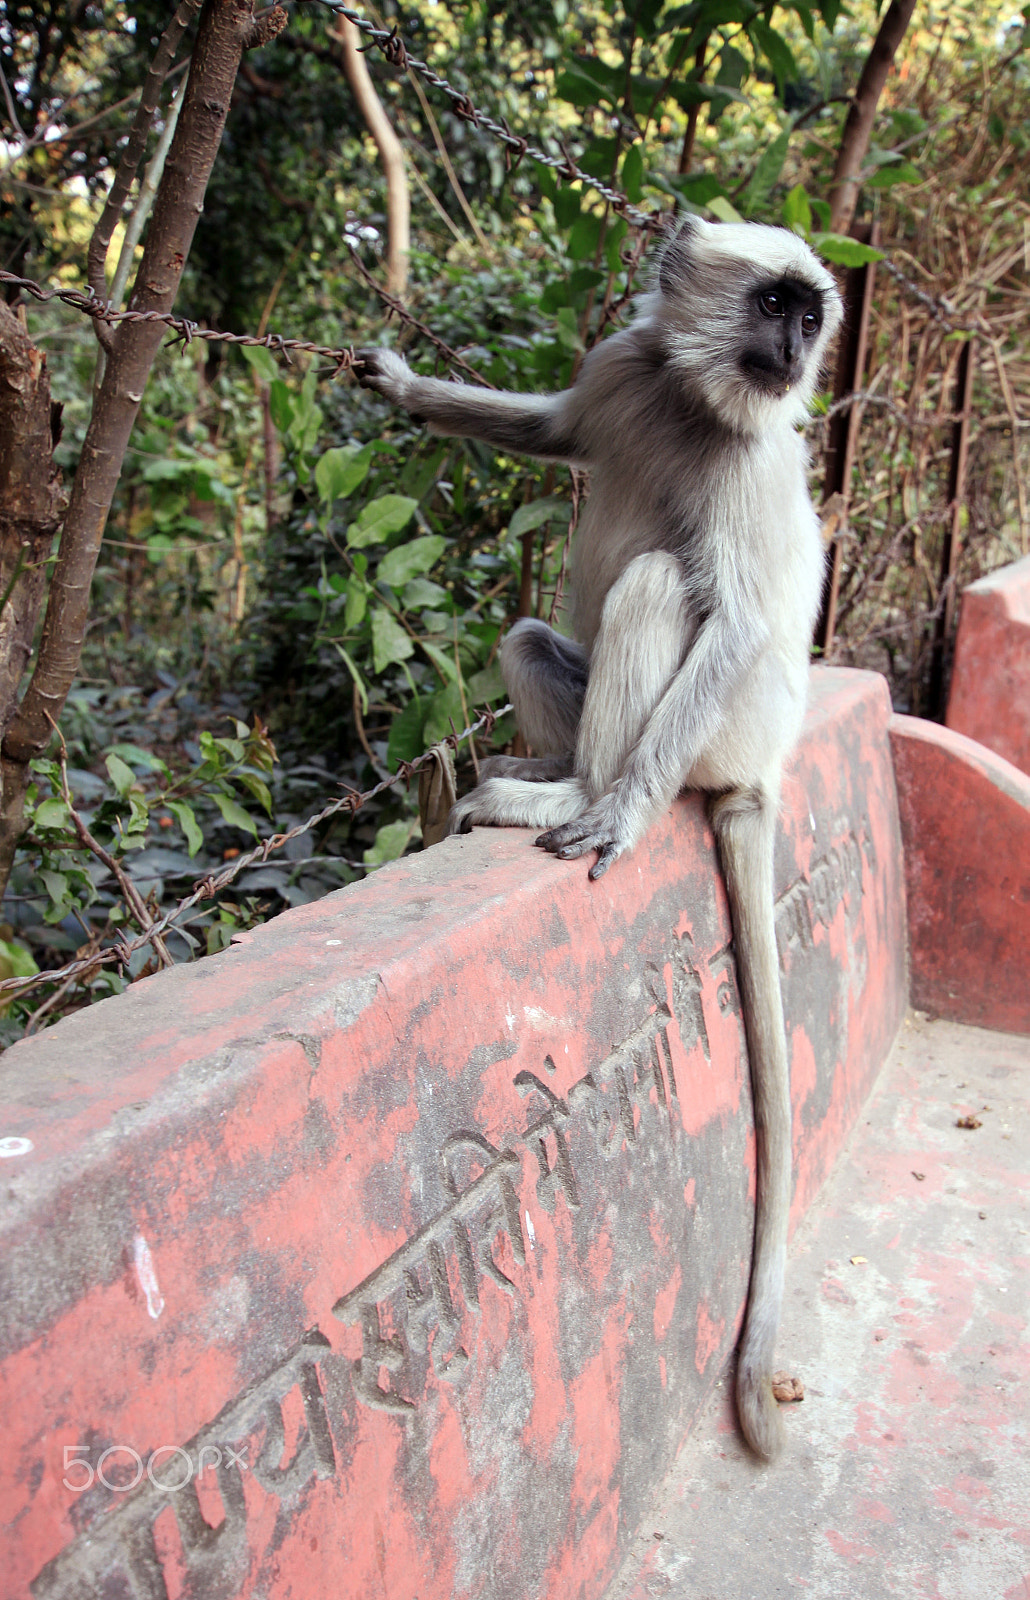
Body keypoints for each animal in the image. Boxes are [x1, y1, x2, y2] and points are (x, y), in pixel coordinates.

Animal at [355, 215, 843, 1461]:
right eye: (776, 307)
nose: (796, 351)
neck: (694, 400)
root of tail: (765, 766)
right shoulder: (625, 365)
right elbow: (552, 430)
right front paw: (403, 387)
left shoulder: (754, 457)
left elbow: (733, 617)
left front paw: (616, 815)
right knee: (536, 634)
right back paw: (550, 772)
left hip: (723, 732)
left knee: (664, 589)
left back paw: (583, 793)